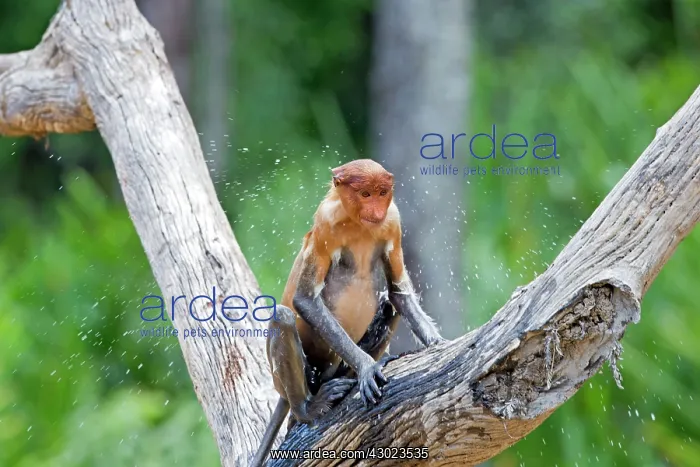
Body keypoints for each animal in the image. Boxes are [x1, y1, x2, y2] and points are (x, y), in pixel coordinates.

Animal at [250, 159, 445, 466]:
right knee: (283, 316)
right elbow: (304, 300)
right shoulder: (326, 222)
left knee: (389, 304)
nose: (376, 212)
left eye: (381, 192)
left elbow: (397, 291)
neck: (358, 224)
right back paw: (306, 409)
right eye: (365, 194)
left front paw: (438, 344)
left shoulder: (392, 221)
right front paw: (366, 368)